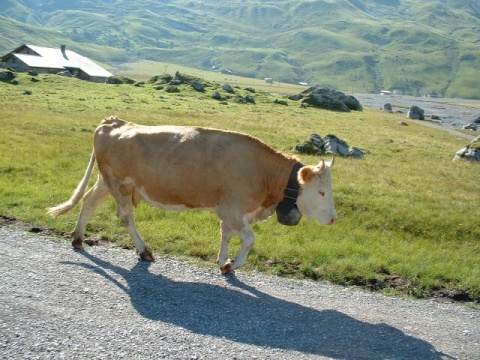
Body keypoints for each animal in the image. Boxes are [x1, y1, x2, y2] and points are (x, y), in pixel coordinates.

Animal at [47, 116, 336, 272]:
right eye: (322, 192)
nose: (334, 218)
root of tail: (114, 121)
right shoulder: (233, 209)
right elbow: (249, 240)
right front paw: (232, 264)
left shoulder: (230, 210)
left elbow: (226, 235)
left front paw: (222, 261)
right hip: (120, 184)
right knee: (125, 216)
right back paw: (143, 250)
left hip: (107, 181)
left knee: (89, 202)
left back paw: (78, 239)